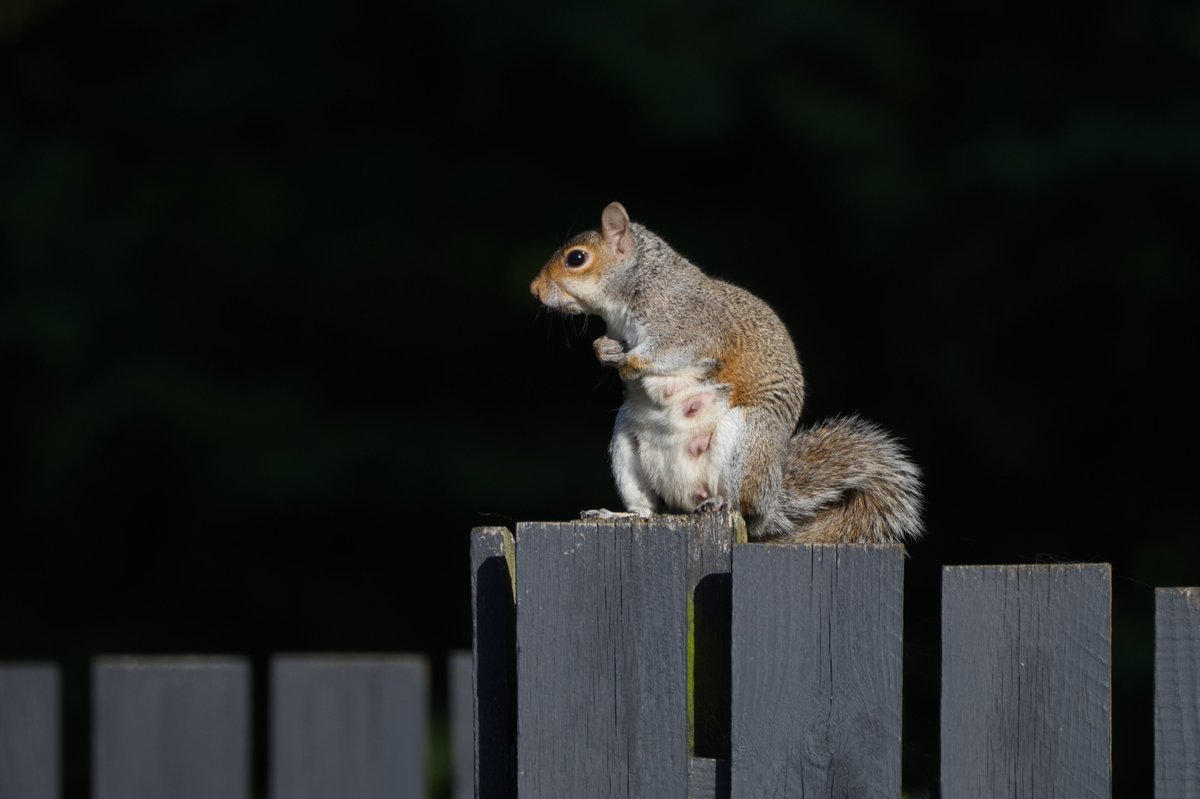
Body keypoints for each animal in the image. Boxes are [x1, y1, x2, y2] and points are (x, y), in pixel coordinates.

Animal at [530, 202, 923, 545]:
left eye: (576, 258)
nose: (534, 290)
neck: (634, 290)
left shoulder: (695, 327)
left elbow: (671, 353)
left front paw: (628, 364)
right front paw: (604, 351)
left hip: (746, 439)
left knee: (743, 507)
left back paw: (722, 502)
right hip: (626, 446)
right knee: (647, 509)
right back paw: (621, 514)